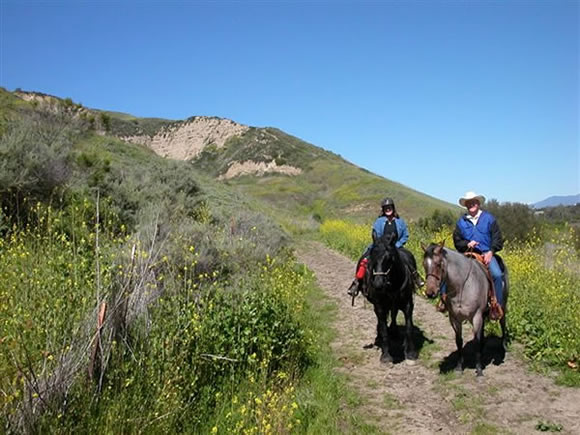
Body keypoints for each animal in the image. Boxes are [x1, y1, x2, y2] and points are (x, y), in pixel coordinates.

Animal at [362, 233, 416, 362]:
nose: (378, 284)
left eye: (389, 258)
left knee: (393, 314)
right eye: (372, 257)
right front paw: (386, 356)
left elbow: (409, 327)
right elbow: (384, 329)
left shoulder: (408, 304)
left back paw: (394, 332)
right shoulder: (380, 306)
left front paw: (411, 352)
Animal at [420, 242, 510, 378]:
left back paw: (503, 346)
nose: (430, 293)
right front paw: (459, 367)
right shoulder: (454, 318)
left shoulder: (476, 316)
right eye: (424, 264)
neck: (462, 286)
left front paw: (479, 370)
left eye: (439, 264)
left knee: (502, 323)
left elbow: (476, 341)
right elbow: (459, 341)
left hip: (502, 306)